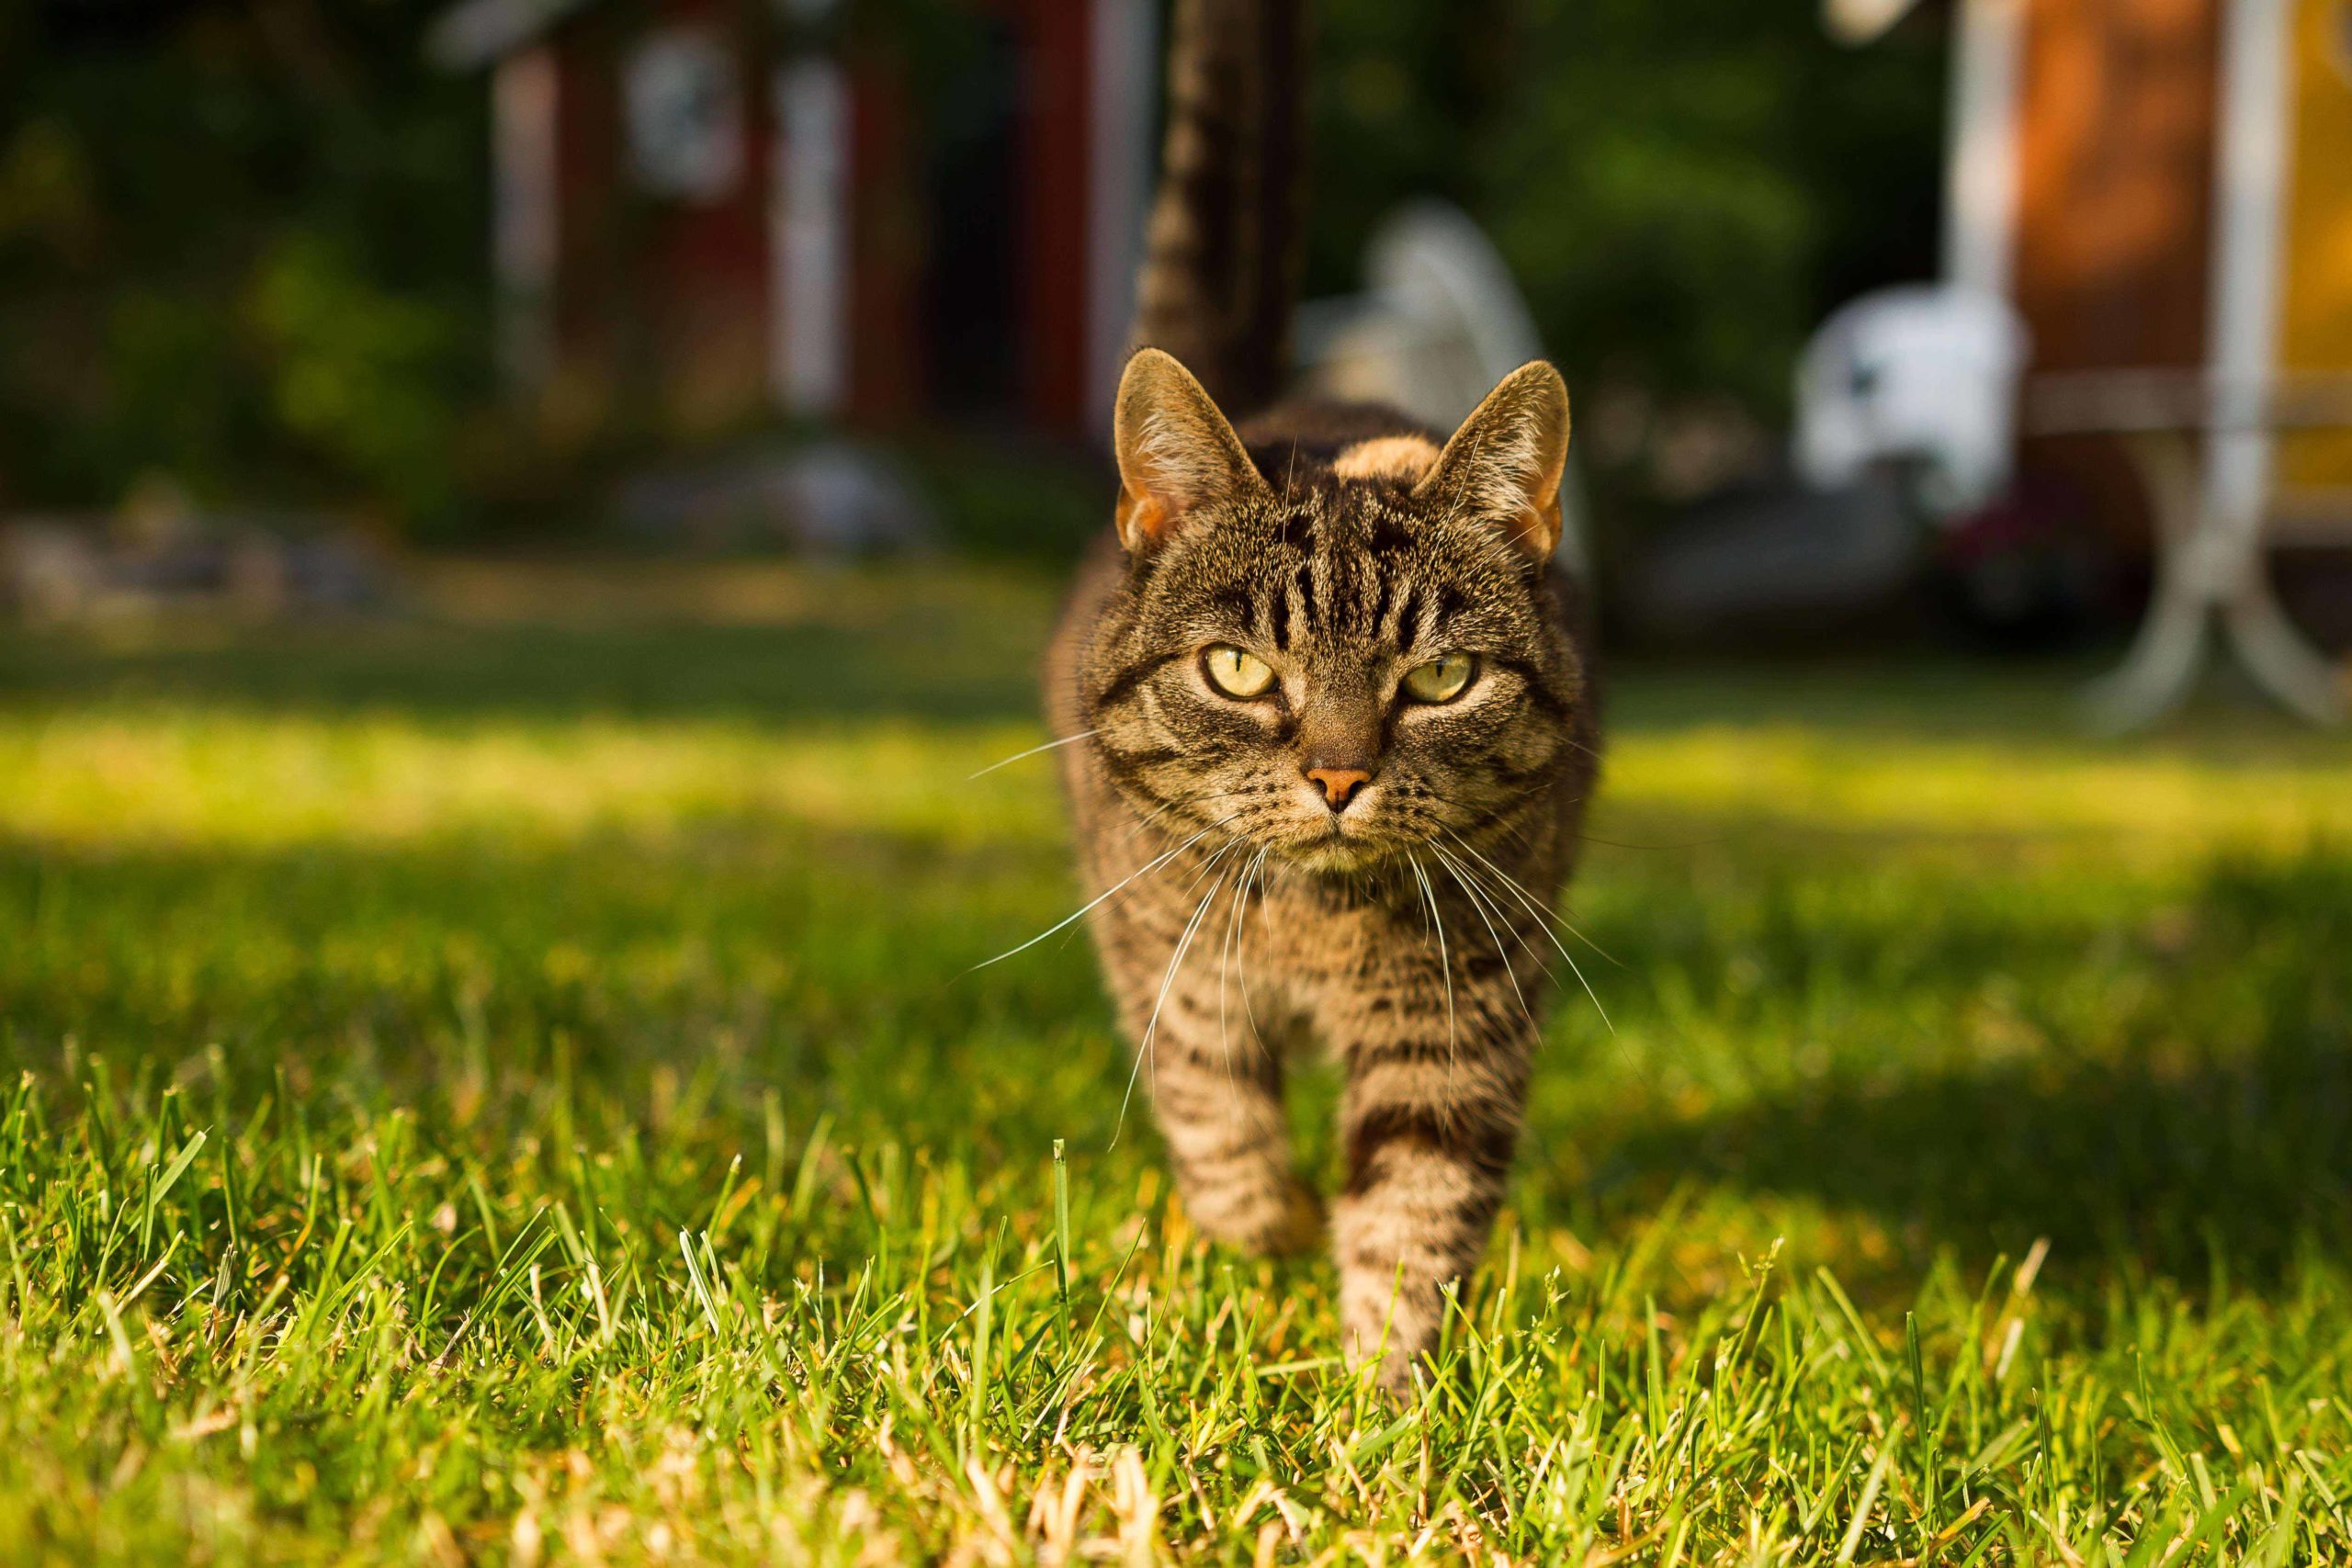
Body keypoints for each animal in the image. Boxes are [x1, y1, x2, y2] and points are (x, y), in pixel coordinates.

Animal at [1048, 0, 1599, 1401]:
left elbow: (1412, 1209)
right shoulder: (1166, 960)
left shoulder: (1456, 1021)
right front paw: (1269, 1230)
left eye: (1441, 676)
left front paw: (1383, 1407)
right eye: (1240, 669)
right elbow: (1216, 1117)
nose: (1340, 777)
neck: (1313, 927)